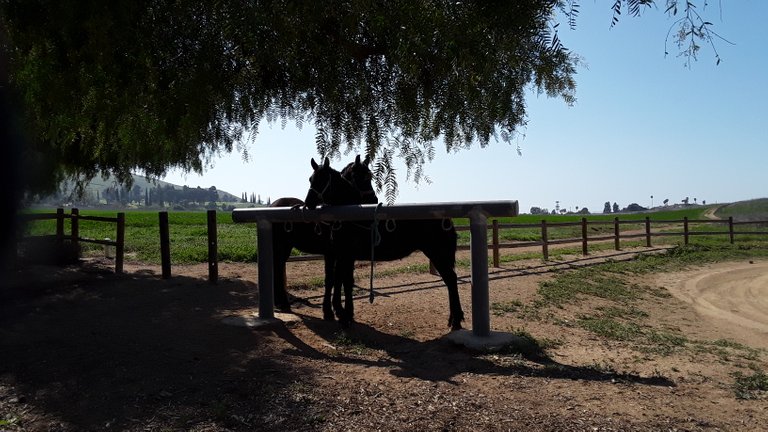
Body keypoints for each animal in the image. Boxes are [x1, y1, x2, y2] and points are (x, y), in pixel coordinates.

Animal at [270, 155, 378, 320]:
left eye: (369, 177)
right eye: (311, 179)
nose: (374, 200)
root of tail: (273, 205)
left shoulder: (345, 254)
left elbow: (341, 279)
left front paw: (339, 309)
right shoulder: (331, 253)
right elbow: (331, 279)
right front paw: (329, 311)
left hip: (285, 247)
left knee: (278, 267)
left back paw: (282, 303)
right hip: (281, 246)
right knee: (277, 268)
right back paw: (283, 303)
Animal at [304, 157, 462, 330]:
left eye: (323, 179)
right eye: (311, 179)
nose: (308, 202)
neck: (351, 217)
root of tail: (445, 219)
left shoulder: (346, 255)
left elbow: (343, 281)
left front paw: (344, 315)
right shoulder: (342, 255)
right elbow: (342, 281)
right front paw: (345, 314)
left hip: (437, 254)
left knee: (451, 279)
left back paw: (456, 321)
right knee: (450, 280)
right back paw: (454, 319)